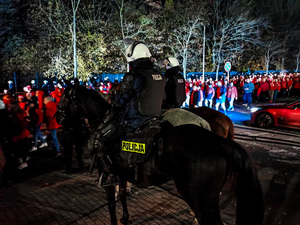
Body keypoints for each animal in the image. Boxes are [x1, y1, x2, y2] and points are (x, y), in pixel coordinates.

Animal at [56, 85, 262, 225]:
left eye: (63, 99)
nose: (59, 119)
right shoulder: (122, 173)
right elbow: (122, 196)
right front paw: (126, 217)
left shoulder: (109, 175)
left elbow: (111, 205)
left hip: (201, 201)